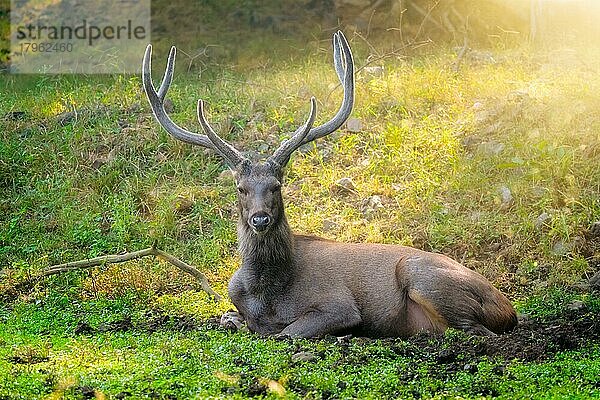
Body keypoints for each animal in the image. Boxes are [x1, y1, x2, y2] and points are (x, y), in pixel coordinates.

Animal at [143, 32, 516, 338]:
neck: (268, 293)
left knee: (476, 331)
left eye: (277, 185)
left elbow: (284, 332)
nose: (260, 219)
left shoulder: (339, 305)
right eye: (240, 188)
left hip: (422, 275)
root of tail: (509, 308)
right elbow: (231, 319)